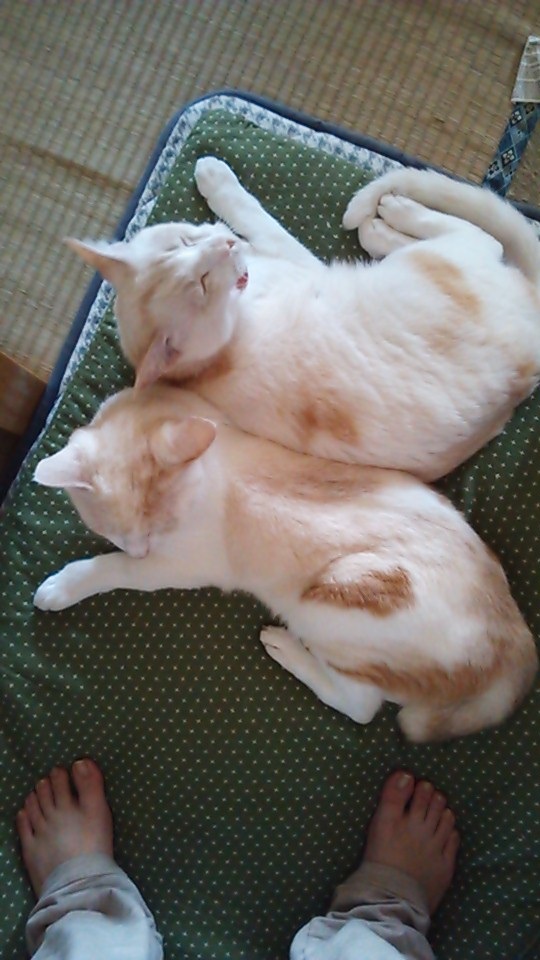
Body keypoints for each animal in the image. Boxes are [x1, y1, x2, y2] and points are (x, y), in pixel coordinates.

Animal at [33, 384, 537, 742]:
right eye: (125, 533)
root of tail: (514, 637)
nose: (141, 548)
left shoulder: (179, 565)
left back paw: (285, 646)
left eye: (153, 533)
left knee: (361, 705)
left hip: (326, 602)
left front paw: (64, 584)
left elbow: (111, 568)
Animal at [67, 161, 540, 483]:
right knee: (482, 236)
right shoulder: (297, 264)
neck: (207, 363)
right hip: (440, 260)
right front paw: (219, 182)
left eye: (183, 242)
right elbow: (262, 221)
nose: (223, 246)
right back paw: (389, 218)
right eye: (201, 284)